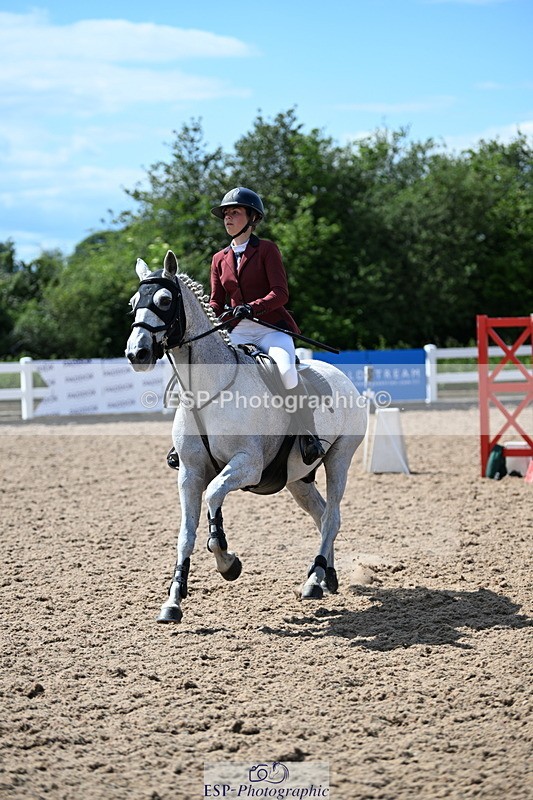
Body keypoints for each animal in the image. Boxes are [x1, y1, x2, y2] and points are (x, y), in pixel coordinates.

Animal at [125, 250, 367, 623]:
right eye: (133, 304)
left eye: (165, 300)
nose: (137, 354)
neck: (206, 393)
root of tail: (341, 376)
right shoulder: (189, 473)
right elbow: (186, 533)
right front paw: (173, 601)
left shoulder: (248, 466)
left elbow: (214, 496)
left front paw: (228, 562)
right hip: (298, 479)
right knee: (322, 514)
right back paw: (327, 576)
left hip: (339, 458)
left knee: (332, 516)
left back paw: (314, 581)